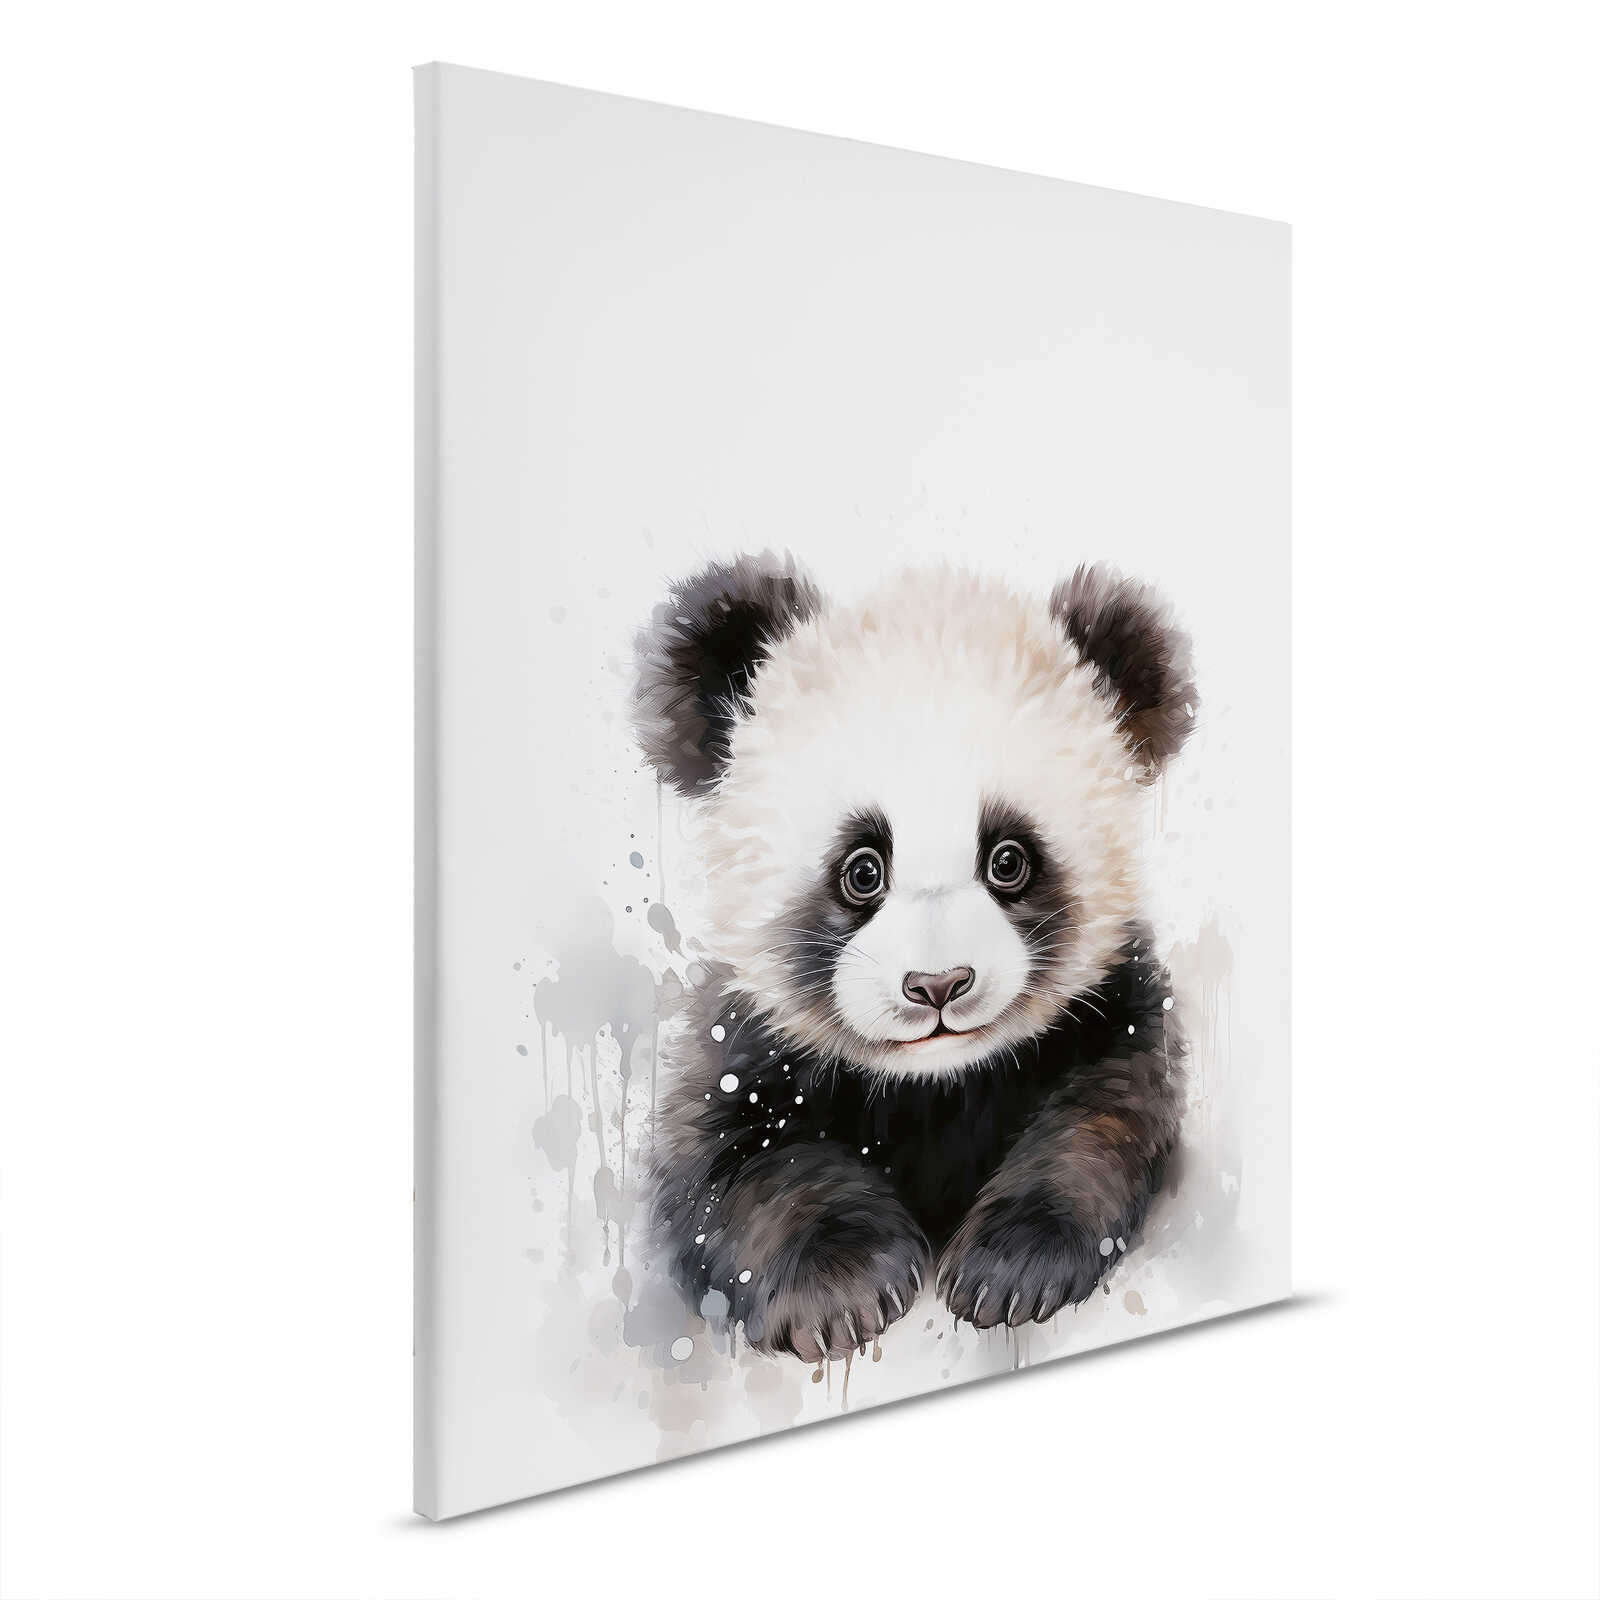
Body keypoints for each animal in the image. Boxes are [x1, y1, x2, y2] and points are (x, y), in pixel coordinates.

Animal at [630, 552, 1197, 1362]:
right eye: (862, 870)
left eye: (1009, 861)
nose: (938, 985)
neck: (935, 1084)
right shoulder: (743, 1036)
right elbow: (731, 1160)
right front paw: (841, 1284)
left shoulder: (1114, 1002)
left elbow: (1106, 1114)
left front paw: (1011, 1267)